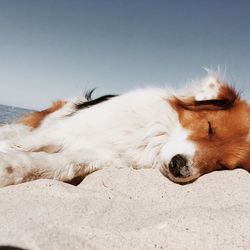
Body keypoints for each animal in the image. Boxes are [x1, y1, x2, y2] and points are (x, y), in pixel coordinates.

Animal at [0, 73, 248, 187]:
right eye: (209, 127)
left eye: (222, 166)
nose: (180, 168)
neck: (150, 138)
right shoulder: (62, 131)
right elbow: (24, 145)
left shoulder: (97, 156)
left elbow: (52, 164)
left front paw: (8, 169)